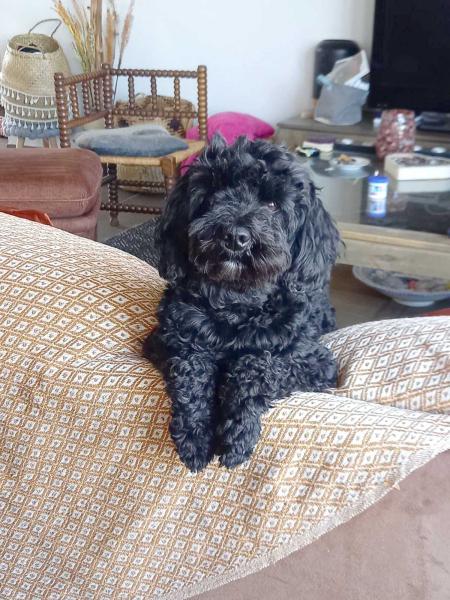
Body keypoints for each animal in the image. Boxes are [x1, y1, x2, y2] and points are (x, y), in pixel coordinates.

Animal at [143, 135, 340, 472]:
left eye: (272, 205)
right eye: (213, 196)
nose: (236, 236)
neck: (238, 301)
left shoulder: (316, 363)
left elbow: (258, 367)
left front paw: (237, 435)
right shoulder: (165, 340)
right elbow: (191, 372)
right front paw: (195, 437)